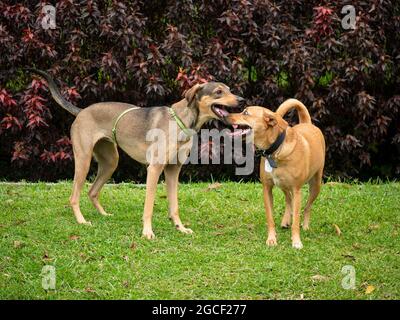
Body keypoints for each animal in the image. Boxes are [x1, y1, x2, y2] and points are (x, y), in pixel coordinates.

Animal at [28, 69, 244, 239]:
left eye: (229, 89)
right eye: (218, 92)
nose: (242, 100)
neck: (182, 121)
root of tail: (82, 111)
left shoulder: (173, 170)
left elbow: (174, 206)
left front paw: (180, 228)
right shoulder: (154, 169)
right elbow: (148, 206)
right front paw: (147, 232)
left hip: (110, 163)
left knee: (92, 191)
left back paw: (103, 215)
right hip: (83, 160)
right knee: (74, 196)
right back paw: (82, 221)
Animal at [228, 99, 324, 249]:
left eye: (246, 113)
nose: (226, 115)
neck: (275, 151)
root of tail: (307, 124)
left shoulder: (297, 190)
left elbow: (296, 219)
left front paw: (296, 241)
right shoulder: (267, 189)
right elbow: (270, 218)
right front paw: (271, 239)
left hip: (316, 184)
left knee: (307, 206)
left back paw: (305, 225)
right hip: (283, 184)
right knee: (288, 199)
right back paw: (286, 219)